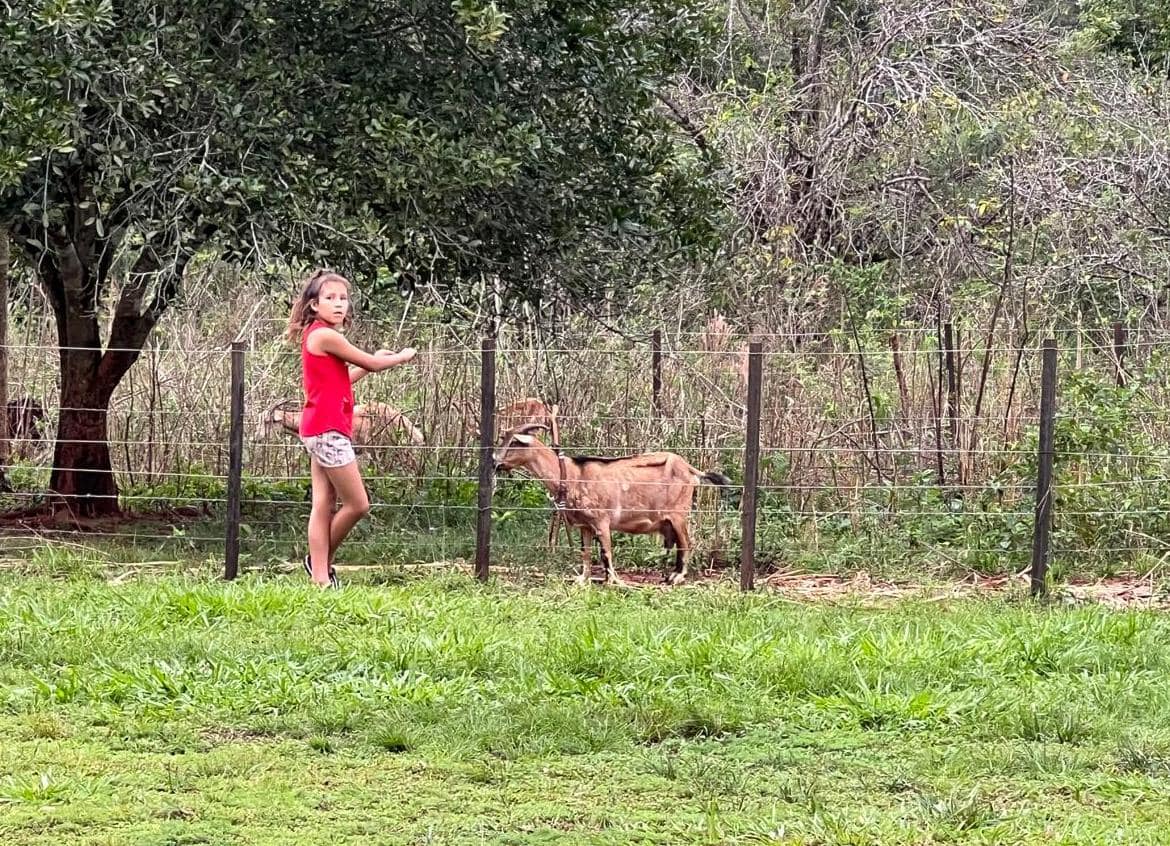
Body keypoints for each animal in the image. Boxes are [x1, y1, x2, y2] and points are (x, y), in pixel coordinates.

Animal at [493, 423, 730, 589]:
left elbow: (606, 552)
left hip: (679, 514)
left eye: (514, 442)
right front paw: (583, 579)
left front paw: (614, 581)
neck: (571, 474)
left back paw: (677, 577)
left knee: (687, 543)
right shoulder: (585, 525)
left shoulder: (601, 521)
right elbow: (586, 552)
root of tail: (692, 470)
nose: (495, 461)